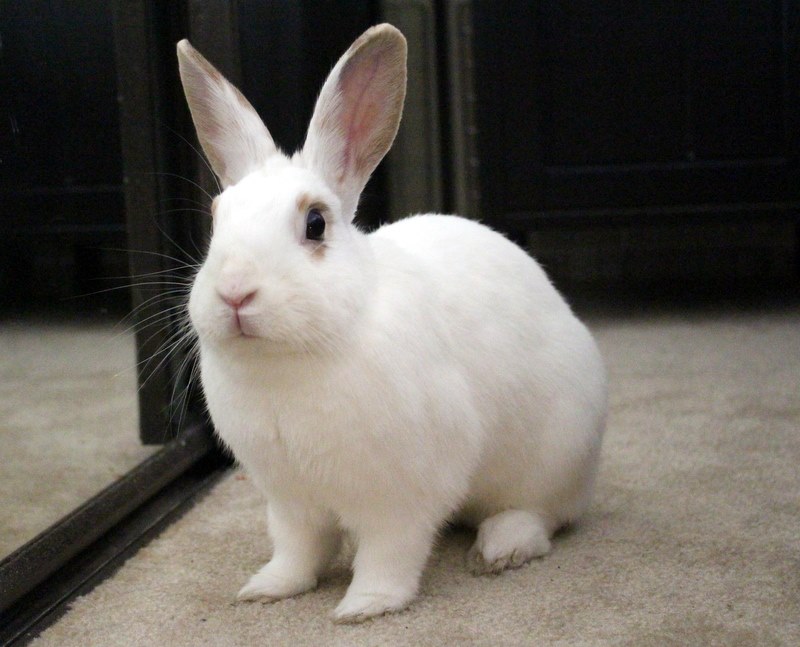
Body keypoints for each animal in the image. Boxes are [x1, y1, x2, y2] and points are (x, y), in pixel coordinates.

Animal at [178, 24, 608, 624]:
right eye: (217, 221)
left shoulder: (401, 496)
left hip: (555, 456)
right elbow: (297, 549)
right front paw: (269, 587)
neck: (289, 361)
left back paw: (499, 549)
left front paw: (366, 606)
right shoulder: (289, 499)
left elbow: (389, 552)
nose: (235, 292)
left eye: (316, 224)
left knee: (541, 516)